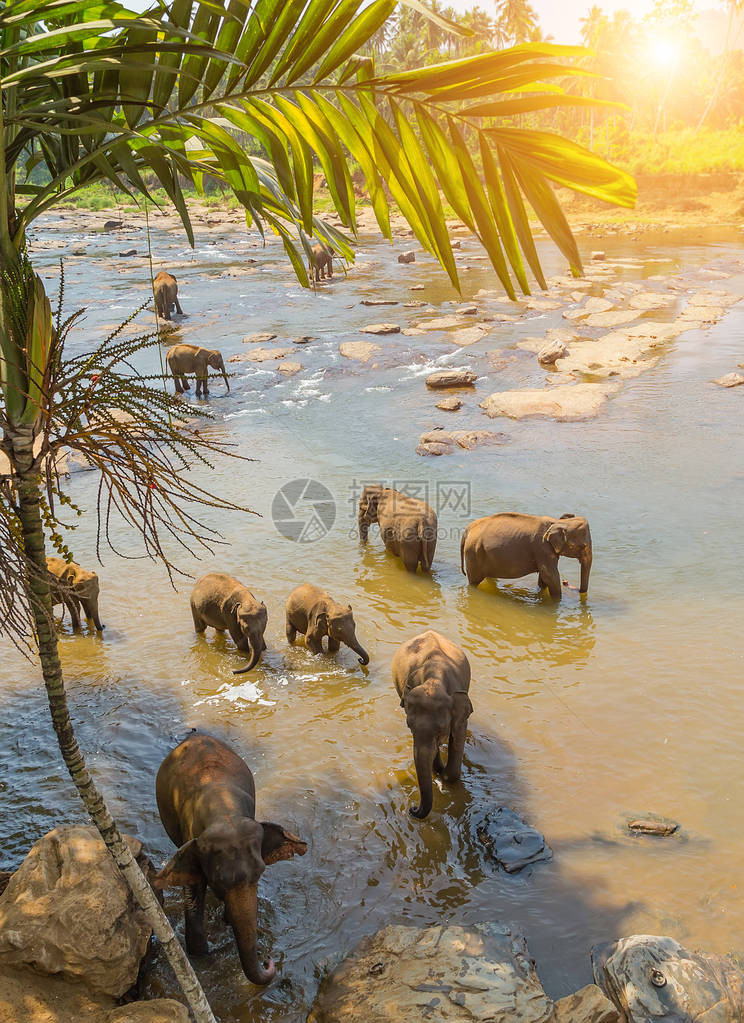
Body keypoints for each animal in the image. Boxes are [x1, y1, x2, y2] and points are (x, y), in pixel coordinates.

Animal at [152, 732, 307, 986]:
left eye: (260, 873)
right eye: (218, 880)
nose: (268, 959)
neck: (224, 812)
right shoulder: (190, 837)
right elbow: (193, 894)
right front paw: (200, 957)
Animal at [392, 626, 474, 818]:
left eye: (441, 730)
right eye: (409, 727)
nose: (412, 808)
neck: (434, 680)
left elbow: (458, 736)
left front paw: (444, 772)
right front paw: (438, 768)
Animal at [460, 511, 593, 597]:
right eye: (583, 546)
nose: (565, 582)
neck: (556, 522)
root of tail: (467, 530)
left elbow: (544, 578)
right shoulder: (542, 549)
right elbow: (550, 576)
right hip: (474, 554)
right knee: (473, 582)